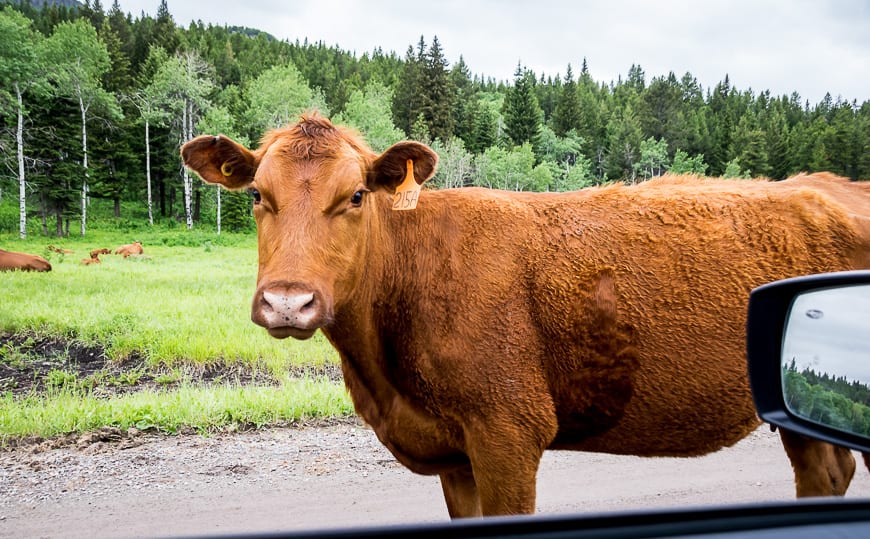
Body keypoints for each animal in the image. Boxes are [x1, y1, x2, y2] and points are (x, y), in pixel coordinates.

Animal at [181, 114, 868, 520]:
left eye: (353, 196)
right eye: (256, 195)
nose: (287, 301)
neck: (383, 375)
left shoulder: (507, 432)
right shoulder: (452, 453)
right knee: (826, 469)